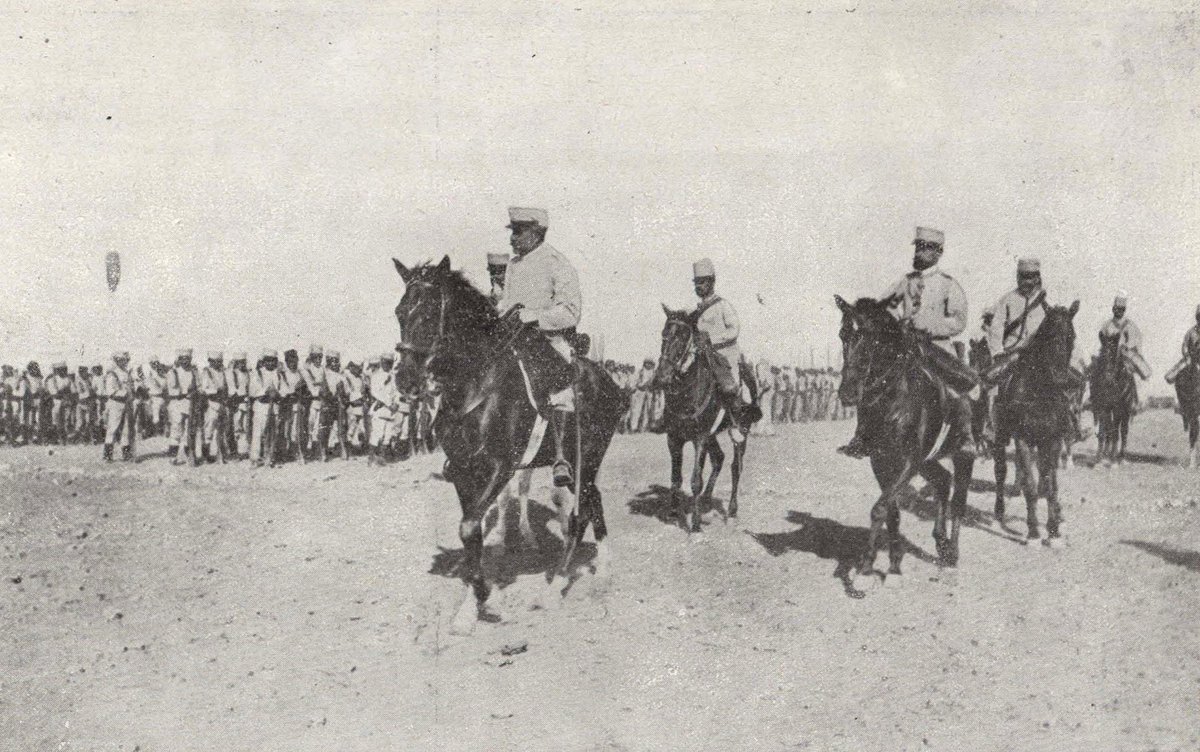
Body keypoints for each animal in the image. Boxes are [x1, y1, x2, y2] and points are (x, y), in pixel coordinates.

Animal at [393, 255, 628, 633]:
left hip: (588, 457)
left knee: (580, 514)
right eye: (400, 312)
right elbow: (471, 532)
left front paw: (487, 601)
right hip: (583, 461)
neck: (476, 386)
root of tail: (611, 384)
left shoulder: (499, 467)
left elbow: (470, 526)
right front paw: (471, 608)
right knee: (594, 499)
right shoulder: (463, 470)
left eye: (428, 315)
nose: (406, 380)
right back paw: (602, 567)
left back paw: (555, 587)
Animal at [652, 307, 753, 534]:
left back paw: (732, 511)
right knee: (719, 458)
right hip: (712, 435)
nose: (662, 377)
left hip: (741, 431)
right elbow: (676, 478)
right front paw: (674, 513)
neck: (687, 393)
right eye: (664, 334)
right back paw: (707, 500)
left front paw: (696, 524)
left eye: (683, 337)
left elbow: (695, 480)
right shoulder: (674, 438)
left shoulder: (699, 438)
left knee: (736, 466)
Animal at [835, 296, 974, 587]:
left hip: (963, 455)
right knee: (942, 481)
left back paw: (952, 556)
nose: (848, 393)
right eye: (844, 334)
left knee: (959, 501)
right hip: (928, 461)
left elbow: (879, 509)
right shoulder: (881, 461)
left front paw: (865, 569)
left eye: (872, 338)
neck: (894, 401)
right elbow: (891, 512)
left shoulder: (908, 463)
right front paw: (892, 565)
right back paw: (941, 543)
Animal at [988, 301, 1084, 546]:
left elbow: (1050, 484)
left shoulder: (1052, 439)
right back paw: (998, 513)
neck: (1040, 391)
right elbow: (1030, 486)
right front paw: (1033, 532)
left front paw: (1054, 530)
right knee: (1001, 472)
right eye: (1047, 334)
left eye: (1071, 336)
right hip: (1001, 436)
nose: (1061, 379)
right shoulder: (1022, 439)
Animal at [1089, 333, 1132, 465]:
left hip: (1126, 410)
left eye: (1114, 355)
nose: (1108, 380)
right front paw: (1099, 457)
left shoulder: (1118, 408)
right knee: (1109, 428)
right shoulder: (1103, 407)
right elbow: (1104, 431)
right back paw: (1106, 453)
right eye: (1102, 354)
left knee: (1123, 431)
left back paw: (1121, 456)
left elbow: (1116, 432)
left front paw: (1113, 459)